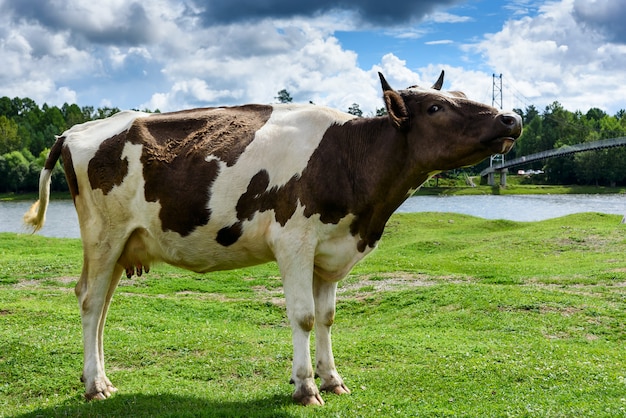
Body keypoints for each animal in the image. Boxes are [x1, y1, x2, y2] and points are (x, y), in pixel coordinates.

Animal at [24, 72, 520, 404]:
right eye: (436, 107)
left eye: (459, 95)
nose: (511, 118)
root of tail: (76, 130)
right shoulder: (293, 241)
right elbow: (303, 316)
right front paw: (304, 387)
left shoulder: (329, 250)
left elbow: (327, 317)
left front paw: (332, 379)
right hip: (103, 236)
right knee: (90, 300)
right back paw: (93, 385)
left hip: (123, 243)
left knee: (103, 305)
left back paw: (101, 378)